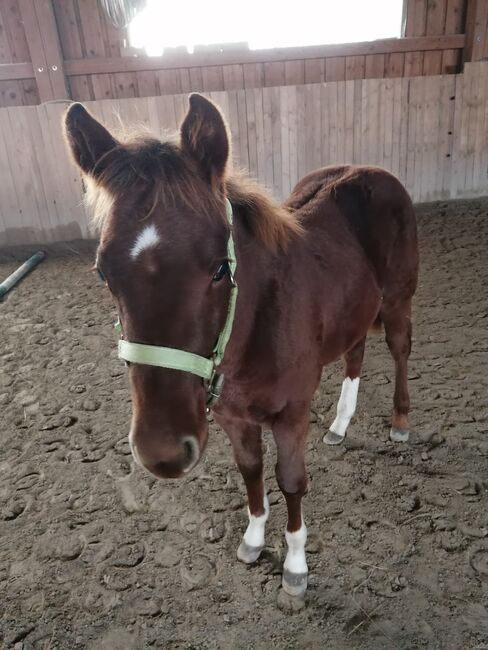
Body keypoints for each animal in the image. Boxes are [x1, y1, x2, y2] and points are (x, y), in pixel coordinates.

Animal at [63, 93, 418, 596]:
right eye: (102, 273)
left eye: (219, 268)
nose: (161, 453)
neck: (249, 334)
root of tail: (373, 172)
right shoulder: (231, 417)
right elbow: (251, 471)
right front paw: (253, 540)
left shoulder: (291, 415)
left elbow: (291, 480)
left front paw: (295, 566)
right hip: (356, 310)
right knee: (355, 353)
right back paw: (340, 424)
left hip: (398, 300)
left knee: (400, 348)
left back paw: (401, 421)